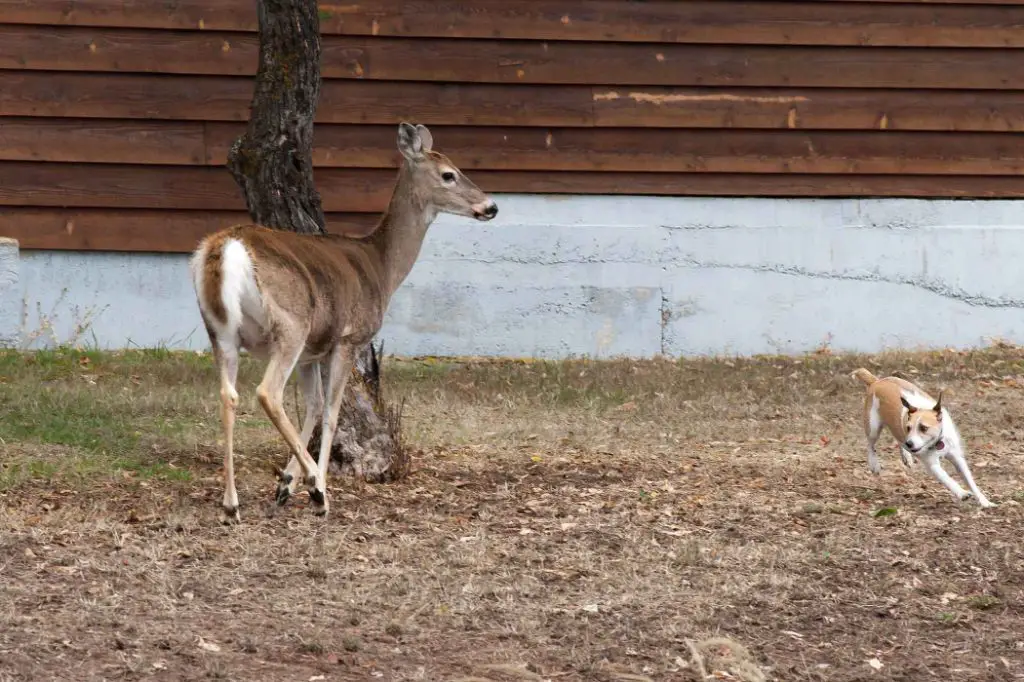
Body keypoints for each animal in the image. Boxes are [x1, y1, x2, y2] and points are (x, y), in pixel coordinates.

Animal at [192, 122, 499, 520]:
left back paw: (232, 504)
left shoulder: (313, 351)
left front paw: (286, 484)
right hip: (291, 324)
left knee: (228, 396)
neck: (381, 266)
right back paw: (317, 490)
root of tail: (227, 247)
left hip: (221, 331)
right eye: (449, 174)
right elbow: (332, 412)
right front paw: (313, 484)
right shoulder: (347, 339)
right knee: (267, 392)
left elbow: (314, 406)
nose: (491, 206)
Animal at [851, 366, 995, 503]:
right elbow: (946, 478)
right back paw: (874, 463)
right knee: (871, 444)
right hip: (873, 427)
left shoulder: (956, 457)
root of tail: (876, 381)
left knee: (898, 439)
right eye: (908, 428)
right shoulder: (932, 464)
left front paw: (985, 502)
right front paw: (961, 493)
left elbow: (969, 480)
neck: (938, 442)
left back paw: (906, 455)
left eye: (924, 428)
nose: (909, 443)